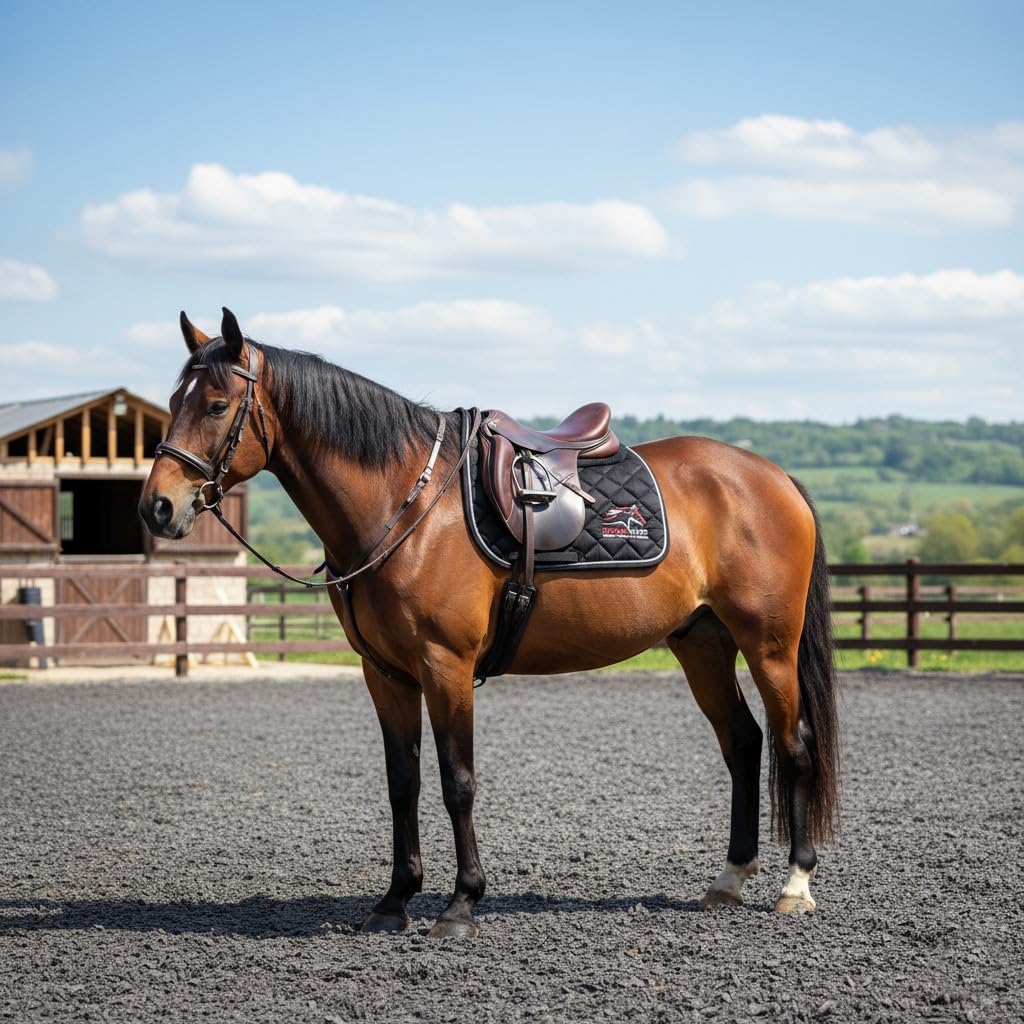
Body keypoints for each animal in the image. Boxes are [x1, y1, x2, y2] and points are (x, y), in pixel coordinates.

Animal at [139, 307, 840, 938]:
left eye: (216, 406)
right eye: (175, 400)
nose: (157, 507)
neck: (406, 503)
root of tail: (772, 476)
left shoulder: (445, 666)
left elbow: (458, 783)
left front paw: (460, 905)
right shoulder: (386, 675)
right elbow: (403, 784)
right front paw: (394, 902)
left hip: (768, 645)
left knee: (793, 743)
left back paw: (795, 885)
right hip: (702, 644)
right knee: (743, 743)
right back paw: (729, 879)